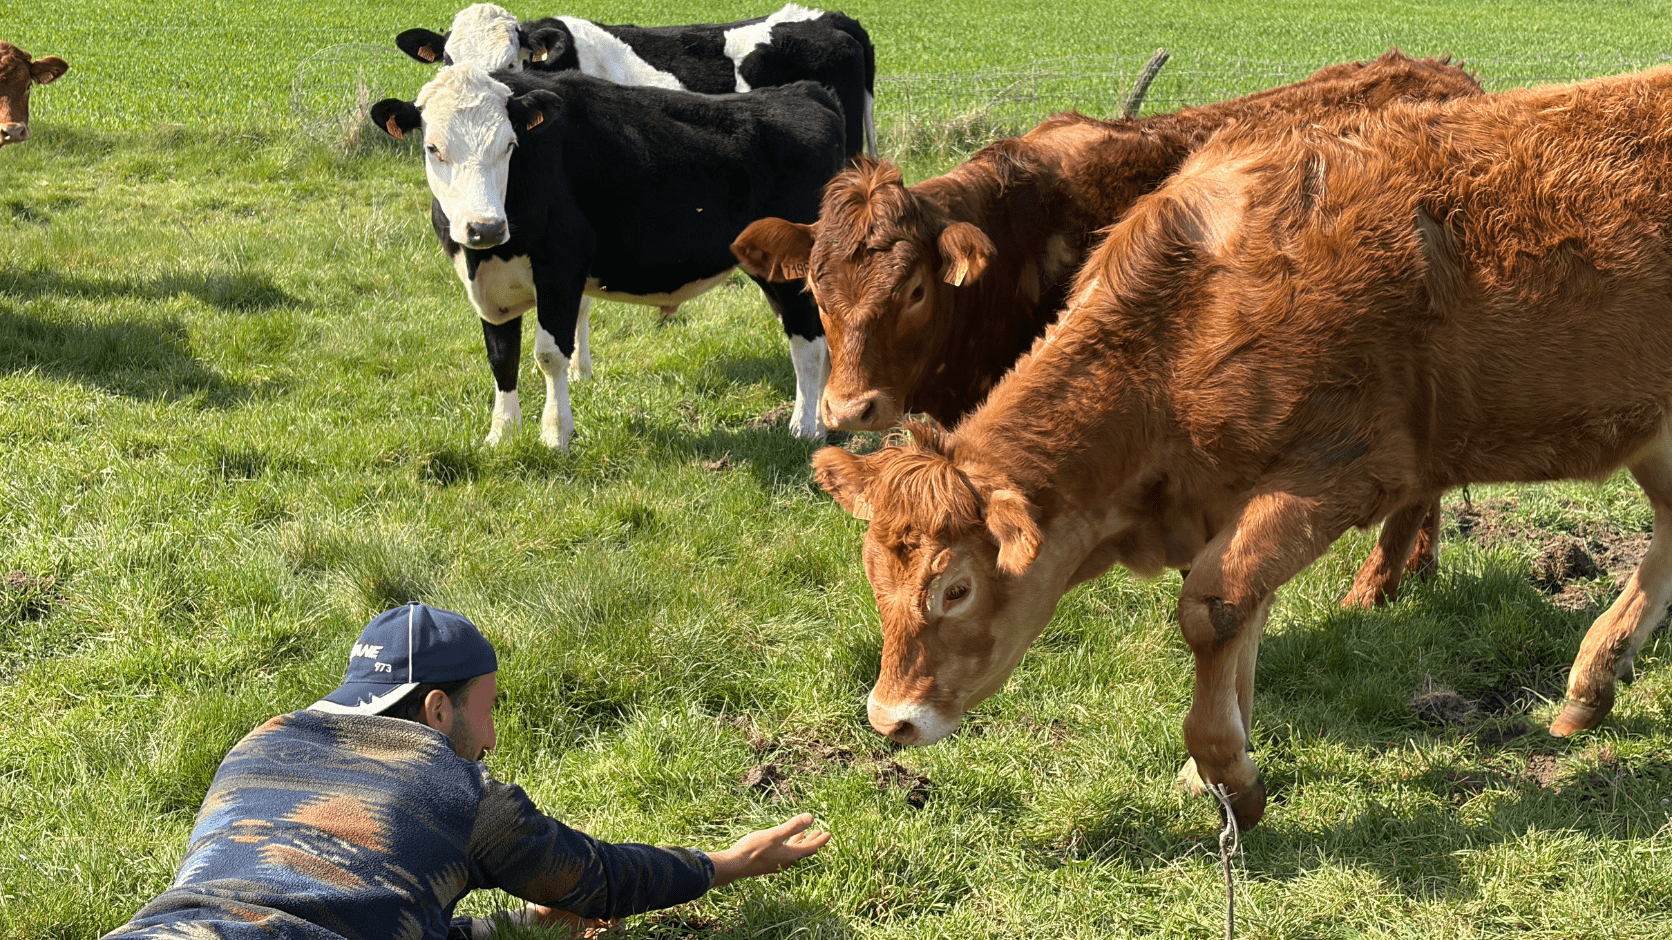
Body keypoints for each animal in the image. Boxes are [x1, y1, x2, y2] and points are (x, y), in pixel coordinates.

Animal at [370, 65, 846, 448]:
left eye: (508, 145)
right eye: (433, 148)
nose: (484, 227)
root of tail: (803, 92)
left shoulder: (561, 268)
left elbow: (550, 354)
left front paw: (555, 435)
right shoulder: (487, 286)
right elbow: (501, 357)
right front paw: (501, 435)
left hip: (792, 269)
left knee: (808, 343)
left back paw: (804, 429)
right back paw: (825, 422)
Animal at [809, 64, 1672, 833]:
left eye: (954, 588)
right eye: (873, 577)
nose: (891, 719)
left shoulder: (1341, 471)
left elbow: (1214, 606)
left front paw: (1227, 773)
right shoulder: (1228, 494)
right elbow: (1244, 613)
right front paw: (1218, 763)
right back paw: (1592, 684)